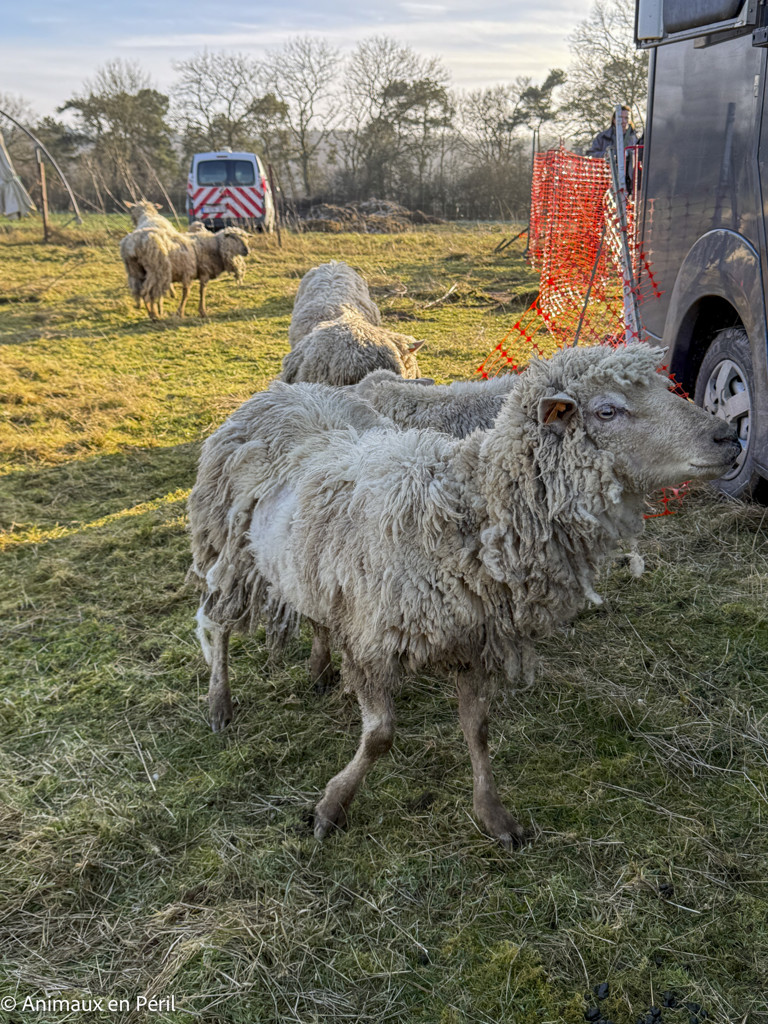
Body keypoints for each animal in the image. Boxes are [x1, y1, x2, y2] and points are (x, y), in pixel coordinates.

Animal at [187, 343, 739, 846]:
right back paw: (219, 703)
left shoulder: (474, 638)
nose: (728, 436)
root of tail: (279, 391)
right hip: (227, 549)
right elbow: (380, 735)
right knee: (215, 622)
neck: (469, 514)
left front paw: (493, 815)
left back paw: (319, 668)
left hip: (311, 567)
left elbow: (478, 729)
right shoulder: (374, 640)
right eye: (607, 410)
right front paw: (331, 806)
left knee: (314, 613)